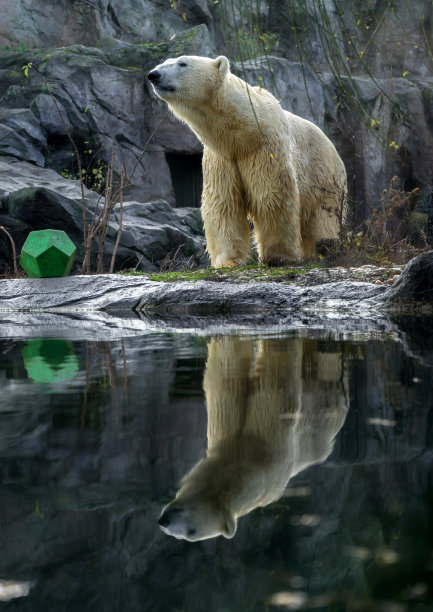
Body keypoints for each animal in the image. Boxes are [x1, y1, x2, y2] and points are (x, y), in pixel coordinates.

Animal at [148, 56, 348, 266]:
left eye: (182, 63)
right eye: (165, 62)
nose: (153, 75)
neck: (243, 132)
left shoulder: (264, 148)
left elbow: (272, 195)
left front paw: (278, 256)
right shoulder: (222, 157)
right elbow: (224, 203)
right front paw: (228, 260)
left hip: (323, 176)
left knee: (323, 216)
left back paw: (325, 247)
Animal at [158, 338, 348, 544]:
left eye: (191, 533)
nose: (164, 521)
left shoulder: (274, 447)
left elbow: (275, 381)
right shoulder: (226, 430)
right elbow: (226, 375)